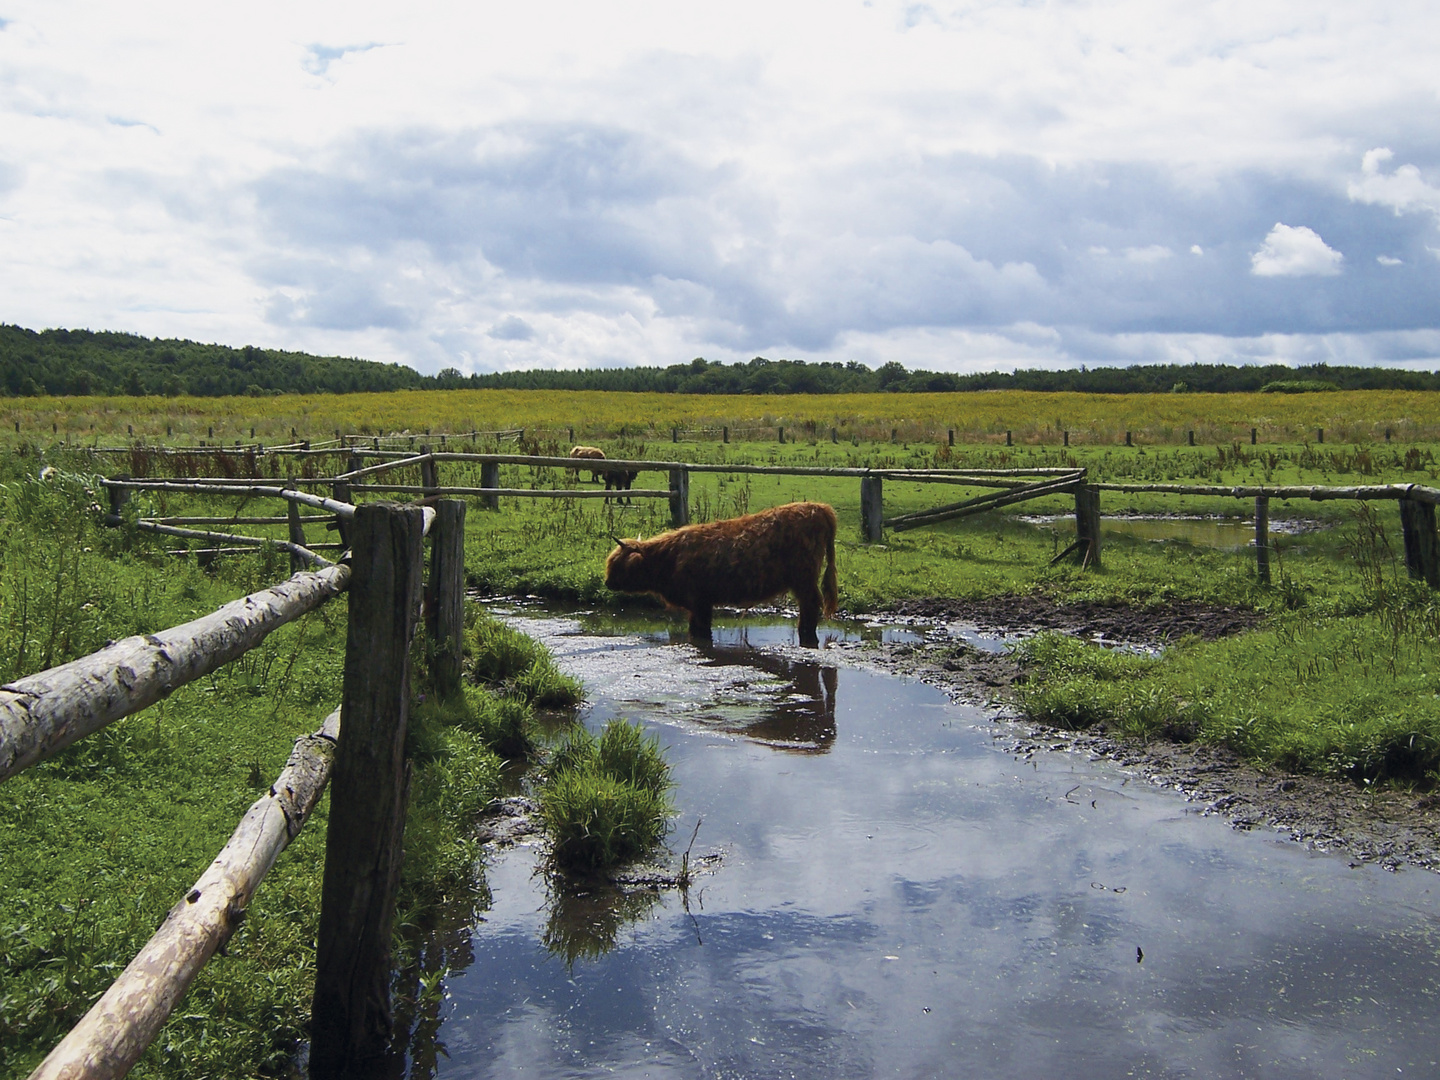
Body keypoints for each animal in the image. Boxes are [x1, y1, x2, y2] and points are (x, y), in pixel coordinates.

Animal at [601, 504, 840, 648]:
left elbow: (700, 630)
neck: (669, 558)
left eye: (617, 565)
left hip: (804, 579)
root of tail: (819, 508)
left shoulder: (699, 602)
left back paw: (806, 634)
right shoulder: (699, 603)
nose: (607, 583)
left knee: (811, 605)